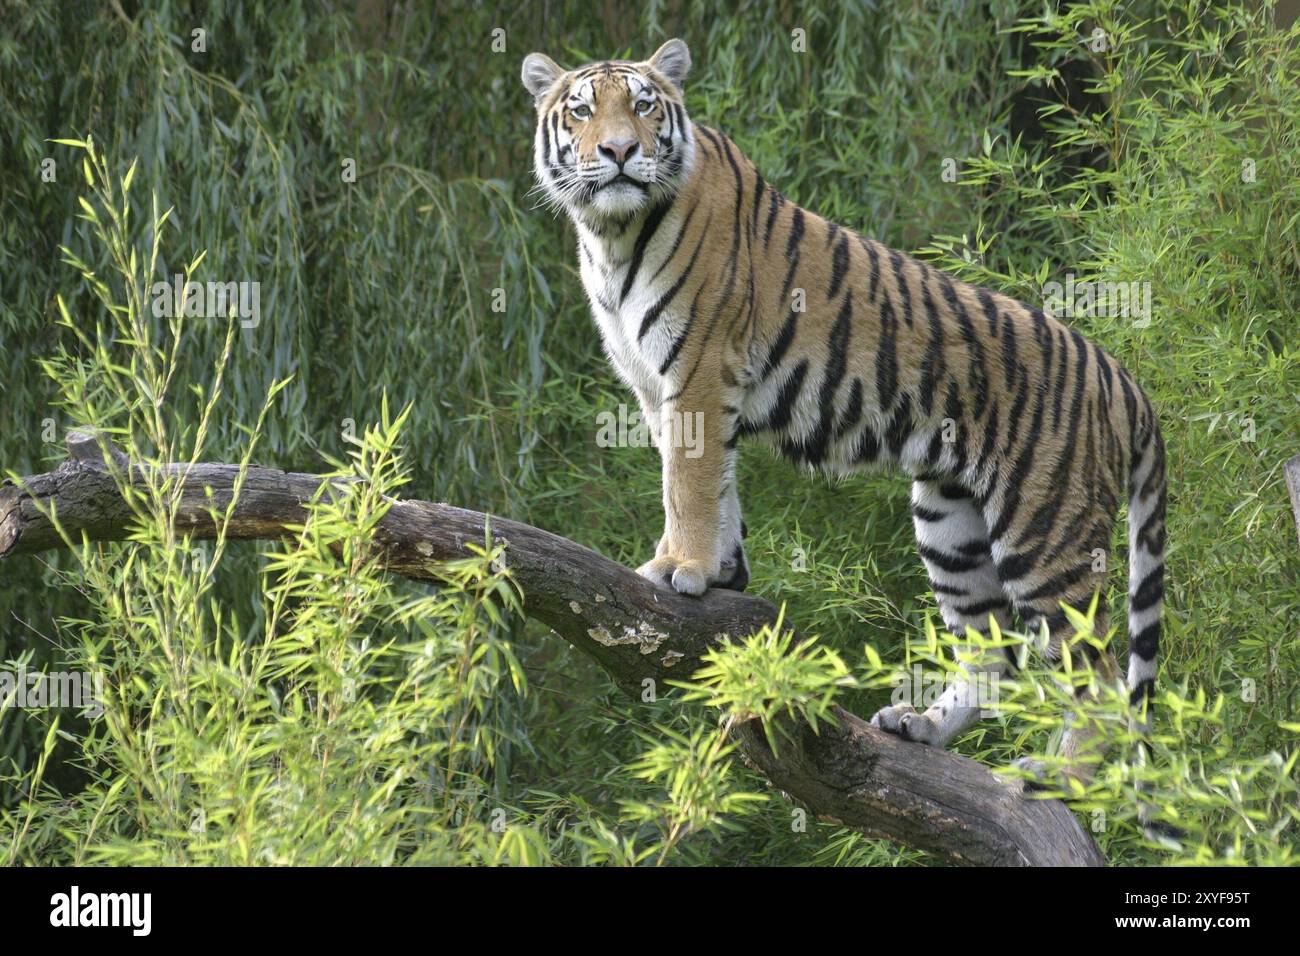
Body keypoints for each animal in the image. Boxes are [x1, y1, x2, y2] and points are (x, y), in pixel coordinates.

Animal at [517, 35, 1170, 785]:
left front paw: (678, 565)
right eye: (581, 110)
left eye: (644, 105)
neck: (610, 232)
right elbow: (712, 482)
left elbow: (687, 482)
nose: (621, 150)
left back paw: (1060, 780)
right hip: (949, 523)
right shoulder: (659, 390)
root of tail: (1123, 378)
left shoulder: (699, 372)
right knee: (994, 654)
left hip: (1045, 528)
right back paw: (921, 726)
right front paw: (723, 571)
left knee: (1098, 673)